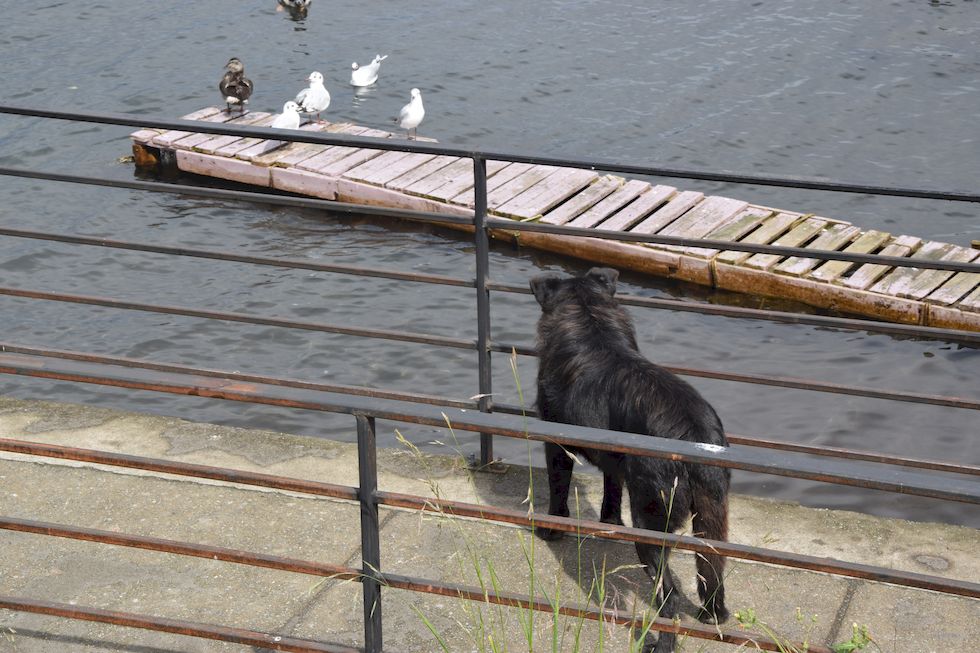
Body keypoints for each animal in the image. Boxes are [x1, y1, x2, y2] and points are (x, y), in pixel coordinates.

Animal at [528, 266, 728, 652]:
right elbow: (612, 489)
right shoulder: (615, 462)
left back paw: (662, 643)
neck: (591, 319)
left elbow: (558, 489)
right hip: (712, 516)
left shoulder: (556, 443)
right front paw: (609, 523)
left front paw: (551, 528)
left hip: (652, 523)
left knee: (668, 595)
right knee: (712, 570)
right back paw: (714, 616)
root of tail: (692, 436)